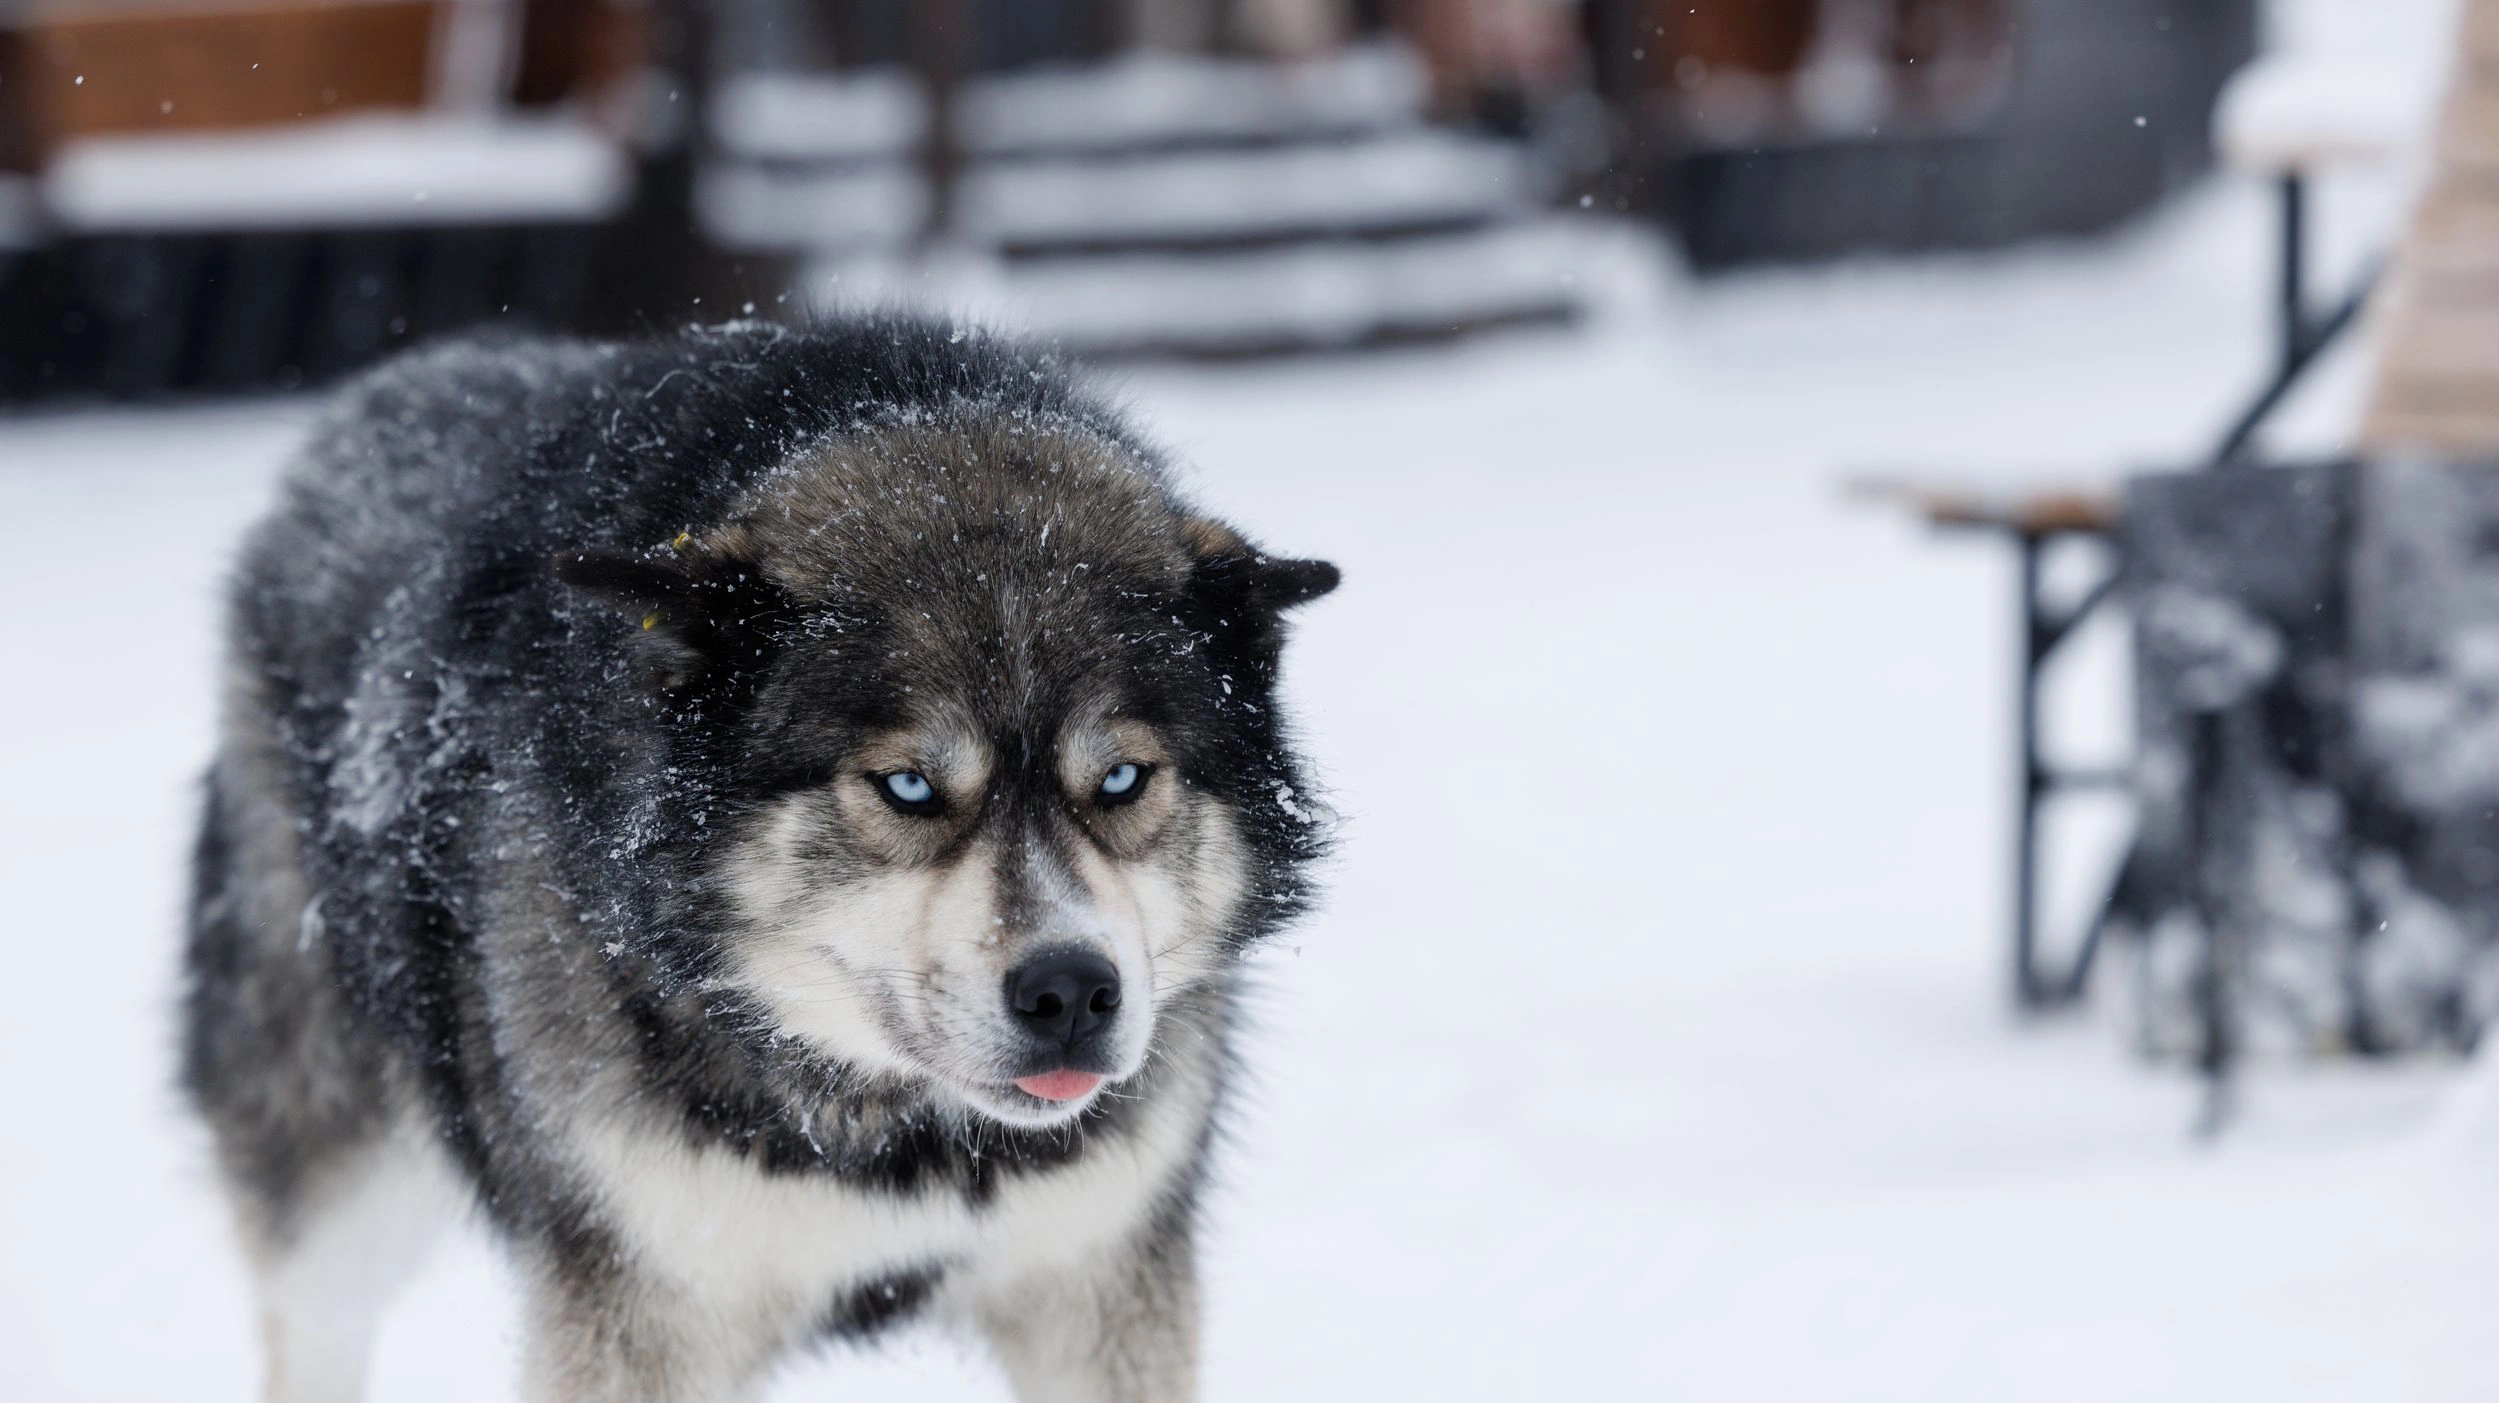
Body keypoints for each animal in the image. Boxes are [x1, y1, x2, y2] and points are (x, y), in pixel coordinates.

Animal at [182, 320, 1339, 1400]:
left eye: (1122, 779)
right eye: (908, 786)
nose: (1070, 992)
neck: (895, 1136)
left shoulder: (1098, 1280)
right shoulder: (641, 1313)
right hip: (340, 1182)